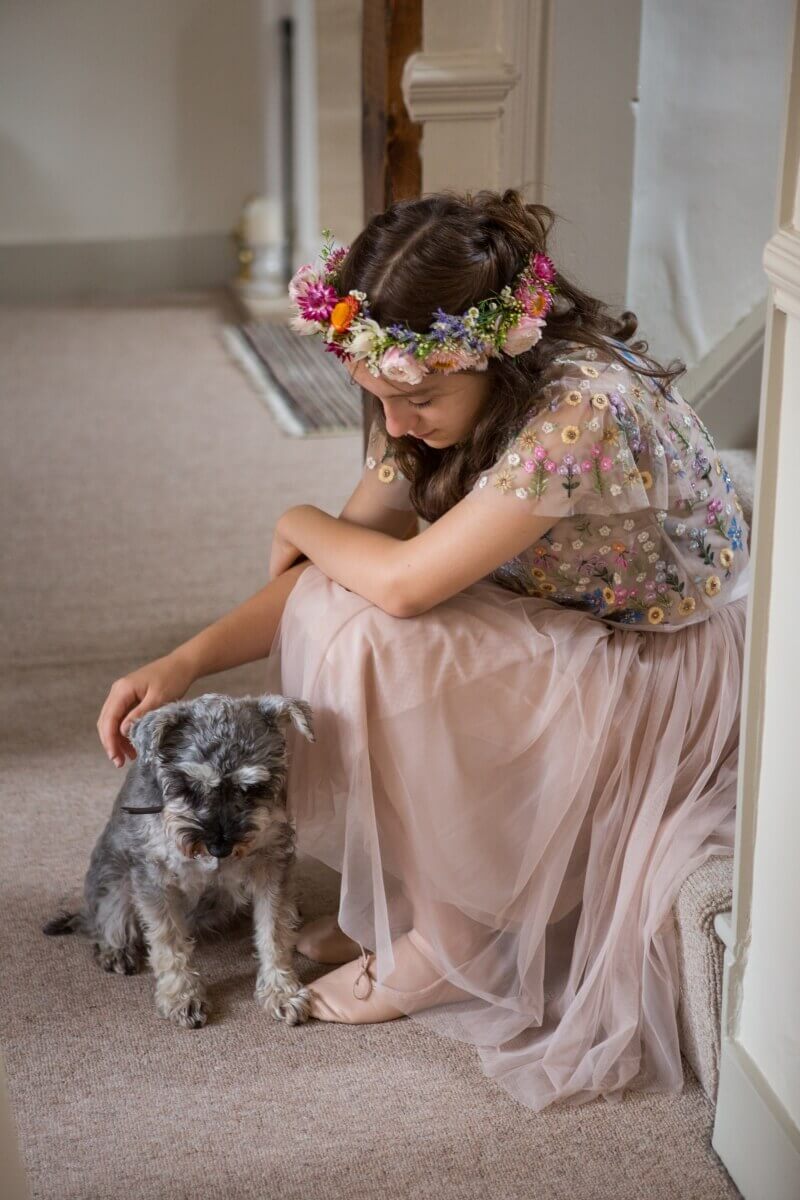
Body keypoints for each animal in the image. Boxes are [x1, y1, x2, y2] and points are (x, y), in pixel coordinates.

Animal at [43, 691, 311, 1027]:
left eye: (251, 789)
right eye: (190, 786)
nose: (219, 847)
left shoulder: (271, 864)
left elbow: (274, 931)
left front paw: (282, 991)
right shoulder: (155, 879)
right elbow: (167, 940)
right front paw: (181, 997)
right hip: (115, 878)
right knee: (107, 917)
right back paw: (115, 948)